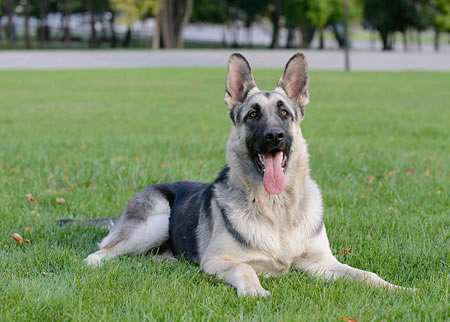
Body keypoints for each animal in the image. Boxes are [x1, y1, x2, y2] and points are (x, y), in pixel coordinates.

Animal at [75, 52, 410, 296]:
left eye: (285, 113)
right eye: (252, 115)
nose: (275, 136)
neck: (277, 209)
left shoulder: (321, 264)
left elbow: (365, 274)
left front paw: (397, 288)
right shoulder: (218, 261)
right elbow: (244, 268)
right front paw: (255, 291)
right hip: (154, 222)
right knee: (99, 253)